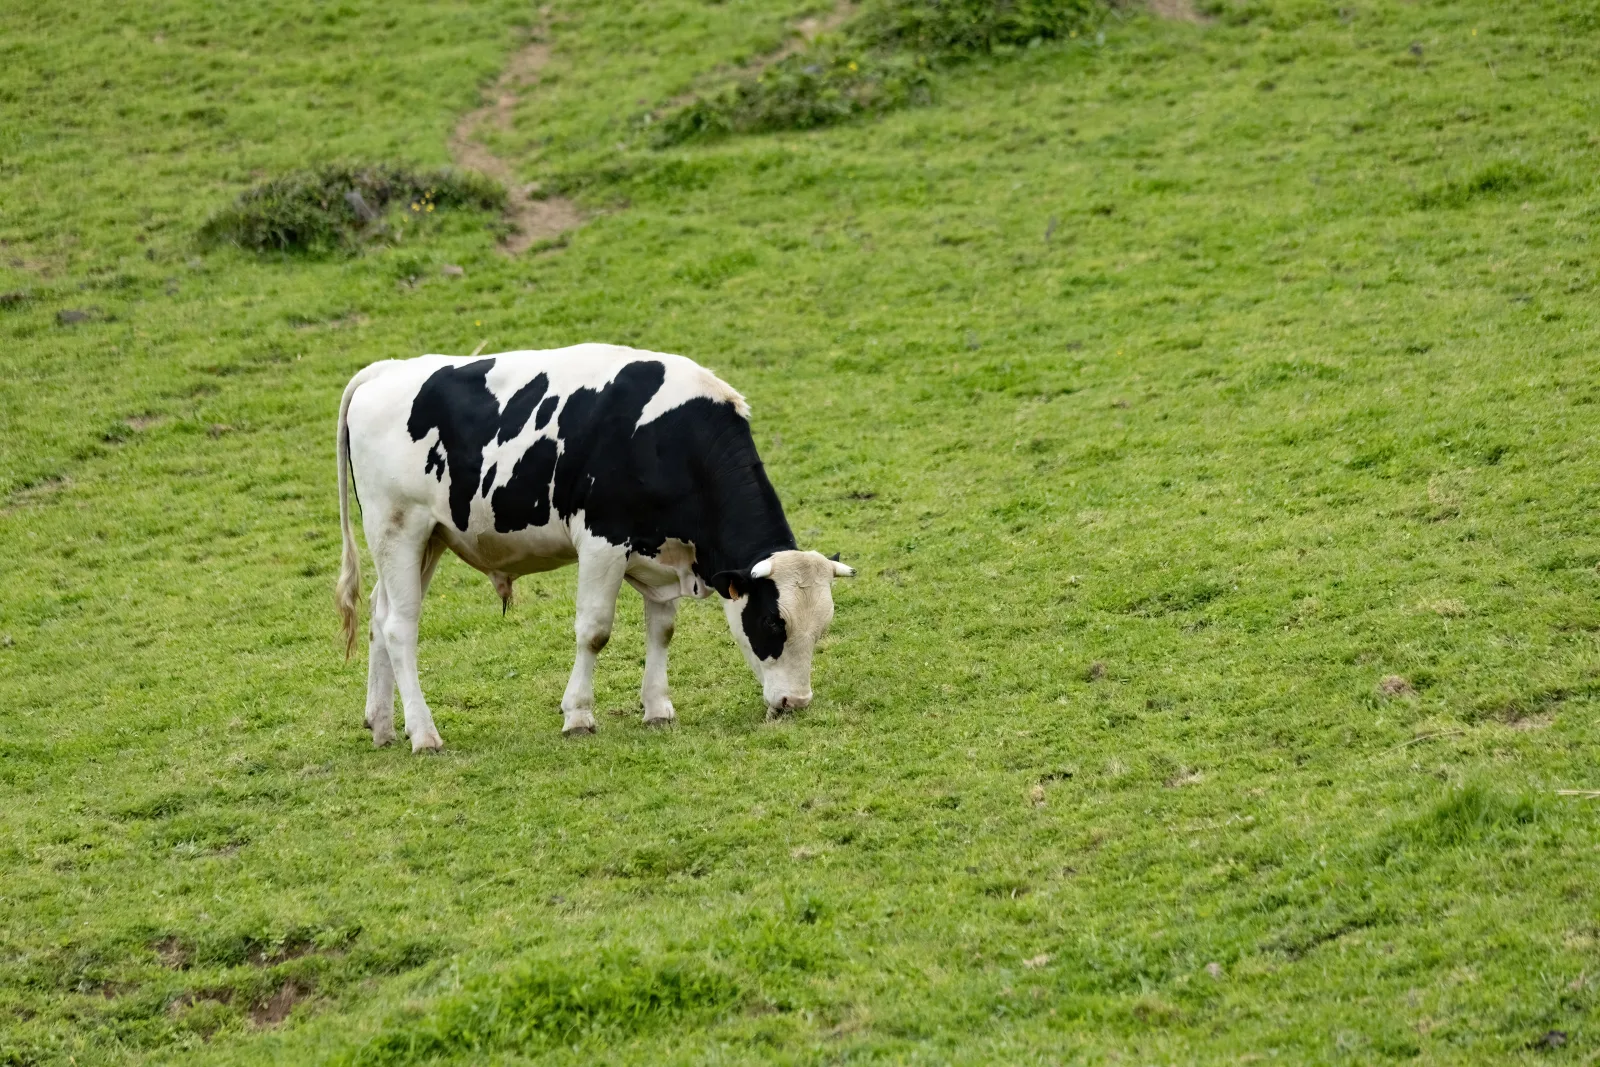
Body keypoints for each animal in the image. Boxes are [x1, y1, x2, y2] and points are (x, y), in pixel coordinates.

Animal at [334, 344, 854, 751]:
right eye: (772, 622)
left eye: (822, 628)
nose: (796, 702)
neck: (666, 437)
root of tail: (384, 370)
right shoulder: (602, 540)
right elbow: (594, 631)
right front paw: (579, 716)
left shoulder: (660, 554)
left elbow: (662, 629)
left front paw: (658, 708)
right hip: (398, 528)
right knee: (400, 627)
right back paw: (424, 735)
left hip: (429, 539)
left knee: (380, 616)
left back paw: (382, 725)